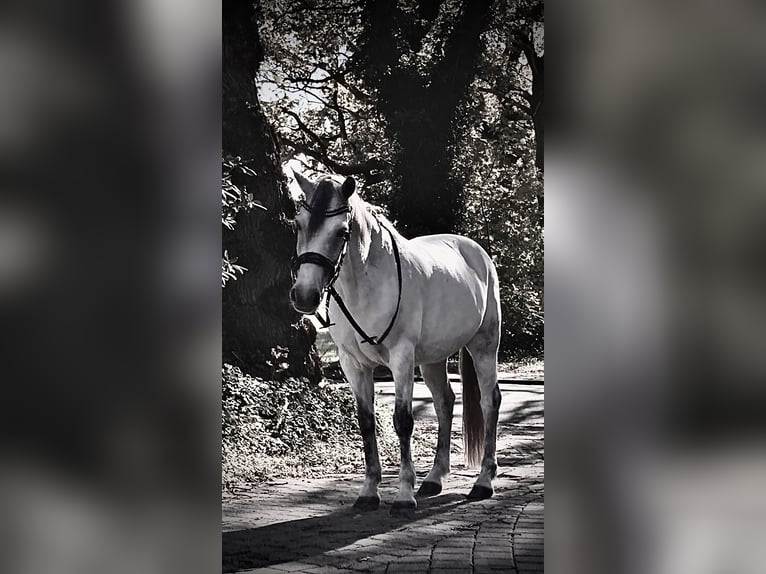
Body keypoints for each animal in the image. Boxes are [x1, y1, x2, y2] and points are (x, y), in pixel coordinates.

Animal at [290, 172, 504, 516]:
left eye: (342, 232)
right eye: (299, 224)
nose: (305, 296)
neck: (368, 285)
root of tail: (477, 252)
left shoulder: (401, 358)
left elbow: (403, 421)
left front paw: (404, 495)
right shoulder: (353, 364)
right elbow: (366, 422)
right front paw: (368, 492)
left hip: (484, 345)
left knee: (489, 402)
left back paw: (483, 482)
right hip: (432, 359)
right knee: (445, 402)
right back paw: (434, 479)